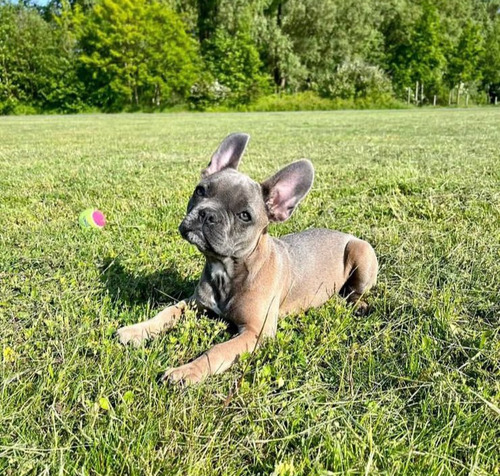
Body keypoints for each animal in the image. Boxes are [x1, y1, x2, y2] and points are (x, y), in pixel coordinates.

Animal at [117, 132, 376, 384]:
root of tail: (344, 234)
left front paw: (186, 372)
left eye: (244, 216)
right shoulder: (194, 303)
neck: (227, 269)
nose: (207, 214)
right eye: (200, 191)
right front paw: (136, 330)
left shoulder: (255, 332)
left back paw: (359, 304)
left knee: (355, 291)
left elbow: (217, 351)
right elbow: (167, 311)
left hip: (361, 251)